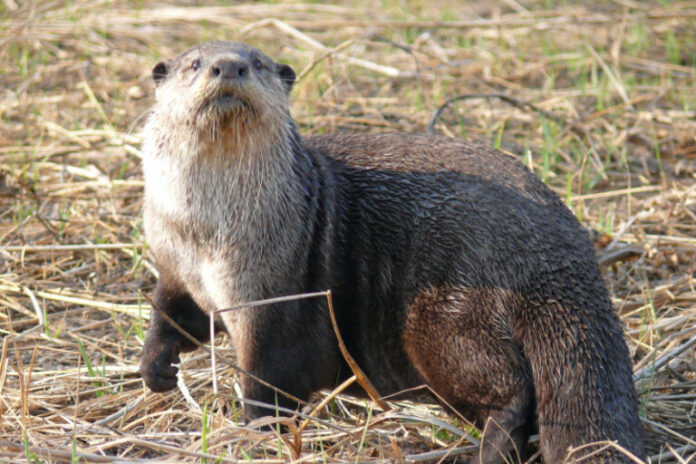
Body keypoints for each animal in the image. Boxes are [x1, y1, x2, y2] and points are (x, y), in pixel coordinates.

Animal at [139, 41, 645, 463]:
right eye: (194, 63)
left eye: (258, 63)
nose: (229, 66)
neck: (209, 237)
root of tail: (561, 253)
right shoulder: (176, 267)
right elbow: (170, 314)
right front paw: (156, 370)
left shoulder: (274, 297)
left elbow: (269, 375)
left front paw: (257, 433)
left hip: (448, 316)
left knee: (510, 390)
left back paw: (489, 448)